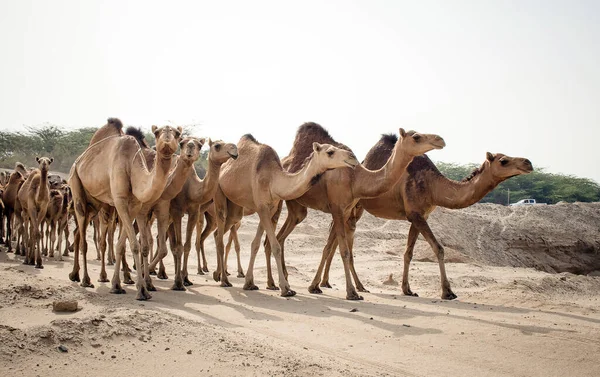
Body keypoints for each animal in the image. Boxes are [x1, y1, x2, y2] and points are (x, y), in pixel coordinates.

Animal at [68, 117, 180, 300]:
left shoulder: (134, 205)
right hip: (76, 185)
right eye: (157, 133)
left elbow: (122, 244)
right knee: (83, 237)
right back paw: (85, 280)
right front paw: (142, 290)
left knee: (79, 233)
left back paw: (74, 275)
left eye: (177, 134)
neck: (132, 166)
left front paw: (117, 285)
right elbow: (134, 244)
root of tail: (78, 161)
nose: (166, 142)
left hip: (95, 202)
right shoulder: (119, 201)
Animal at [149, 137, 238, 288]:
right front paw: (178, 281)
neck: (190, 188)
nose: (234, 149)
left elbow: (186, 245)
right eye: (217, 146)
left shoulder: (194, 212)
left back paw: (160, 272)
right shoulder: (177, 211)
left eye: (200, 145)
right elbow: (178, 246)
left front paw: (185, 278)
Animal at [213, 134, 358, 296]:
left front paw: (249, 283)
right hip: (219, 195)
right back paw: (224, 280)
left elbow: (255, 244)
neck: (273, 180)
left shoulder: (269, 208)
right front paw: (285, 288)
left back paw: (217, 274)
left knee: (219, 232)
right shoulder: (262, 207)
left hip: (235, 206)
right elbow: (275, 246)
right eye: (330, 152)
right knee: (219, 233)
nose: (353, 157)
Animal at [268, 125, 446, 298]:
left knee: (280, 236)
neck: (356, 178)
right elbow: (344, 251)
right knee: (273, 237)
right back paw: (275, 284)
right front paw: (351, 292)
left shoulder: (346, 211)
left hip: (296, 208)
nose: (440, 140)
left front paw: (317, 286)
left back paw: (279, 282)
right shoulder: (337, 209)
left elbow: (336, 249)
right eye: (416, 137)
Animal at [318, 134, 536, 298]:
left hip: (356, 208)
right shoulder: (416, 214)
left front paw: (407, 289)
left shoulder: (418, 216)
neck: (433, 186)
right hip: (349, 205)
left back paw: (341, 284)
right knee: (334, 239)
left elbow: (408, 253)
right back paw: (331, 284)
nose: (528, 163)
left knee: (340, 236)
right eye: (504, 160)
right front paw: (447, 292)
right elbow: (438, 248)